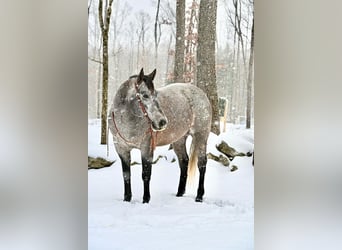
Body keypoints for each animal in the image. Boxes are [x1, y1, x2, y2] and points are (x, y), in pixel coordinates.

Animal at [109, 68, 211, 203]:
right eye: (145, 95)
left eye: (156, 94)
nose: (162, 122)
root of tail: (201, 93)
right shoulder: (121, 149)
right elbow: (126, 175)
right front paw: (127, 199)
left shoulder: (147, 148)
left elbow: (146, 174)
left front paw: (146, 200)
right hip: (179, 140)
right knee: (184, 162)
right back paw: (179, 193)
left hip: (201, 136)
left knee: (202, 164)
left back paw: (199, 196)